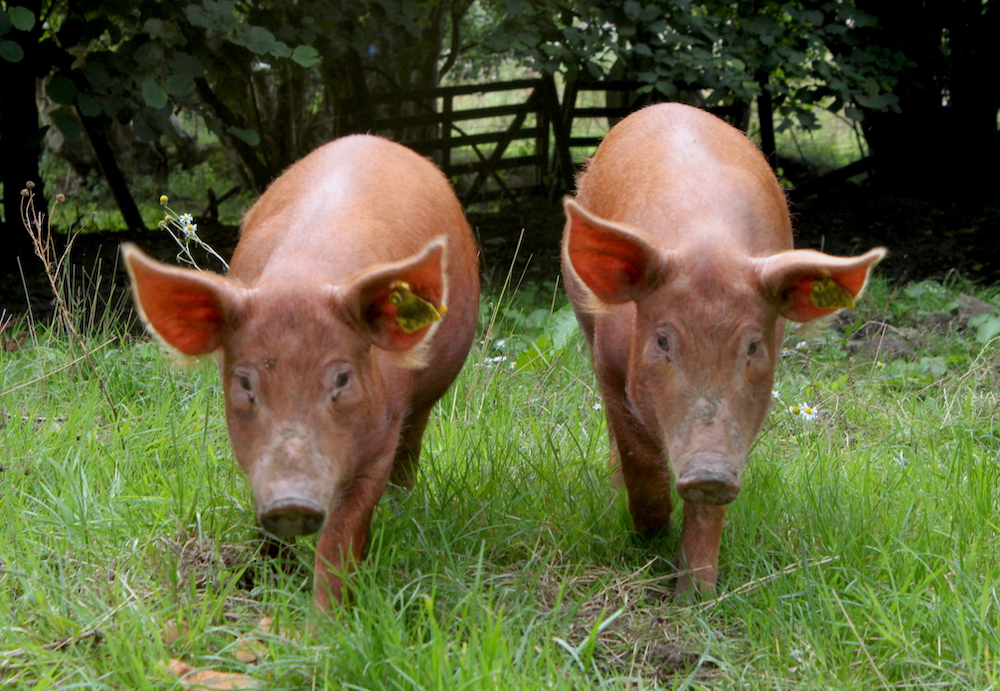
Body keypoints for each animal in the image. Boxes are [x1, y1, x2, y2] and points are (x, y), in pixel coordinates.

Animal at [121, 135, 480, 612]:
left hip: (424, 399)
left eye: (342, 379)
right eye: (245, 382)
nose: (291, 501)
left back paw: (403, 509)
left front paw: (324, 622)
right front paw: (265, 583)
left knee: (413, 443)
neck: (301, 277)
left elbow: (341, 537)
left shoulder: (381, 435)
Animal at [564, 102, 884, 600]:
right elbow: (639, 459)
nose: (709, 473)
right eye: (663, 340)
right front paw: (648, 535)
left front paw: (695, 596)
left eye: (751, 345)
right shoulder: (608, 364)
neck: (707, 244)